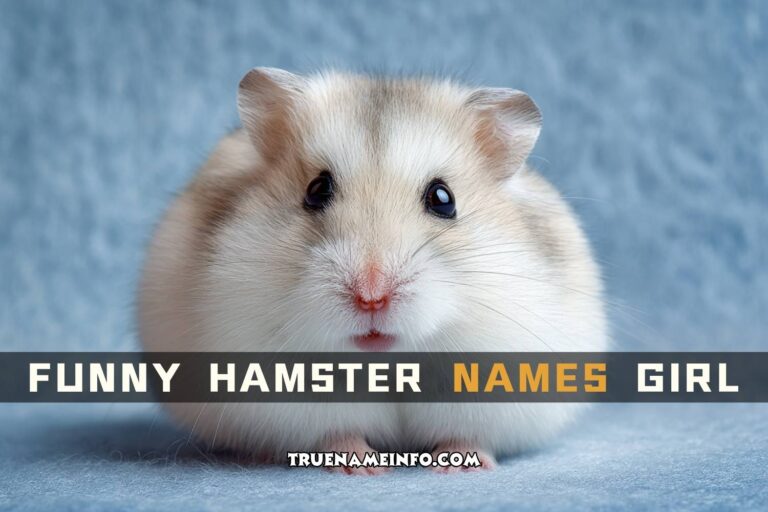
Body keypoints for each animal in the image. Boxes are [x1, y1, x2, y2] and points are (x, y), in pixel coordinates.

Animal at [138, 68, 607, 474]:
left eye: (444, 198)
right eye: (316, 190)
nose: (371, 297)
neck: (391, 359)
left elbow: (466, 435)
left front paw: (461, 467)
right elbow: (337, 432)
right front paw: (362, 468)